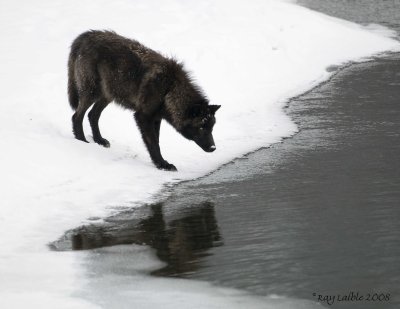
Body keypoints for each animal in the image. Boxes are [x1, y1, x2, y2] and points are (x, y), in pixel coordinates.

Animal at [67, 30, 220, 171]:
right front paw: (162, 164)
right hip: (91, 93)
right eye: (201, 127)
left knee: (92, 115)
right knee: (77, 116)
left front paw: (159, 162)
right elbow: (154, 143)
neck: (169, 88)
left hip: (108, 95)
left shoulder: (156, 118)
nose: (213, 148)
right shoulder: (143, 117)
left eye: (211, 128)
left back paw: (99, 140)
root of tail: (84, 36)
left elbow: (156, 141)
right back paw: (82, 141)